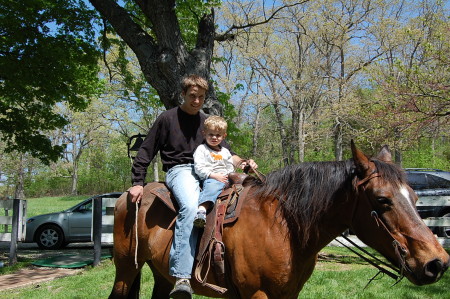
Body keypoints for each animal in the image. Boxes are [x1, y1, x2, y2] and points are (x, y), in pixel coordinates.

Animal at [110, 144, 450, 299]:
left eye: (415, 198)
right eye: (382, 200)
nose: (437, 263)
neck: (283, 225)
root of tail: (130, 194)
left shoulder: (289, 293)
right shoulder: (257, 294)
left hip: (161, 274)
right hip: (126, 269)